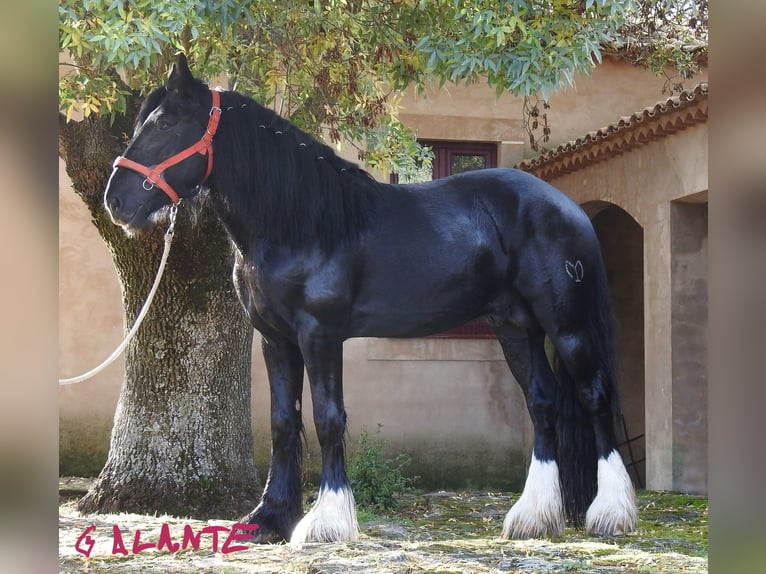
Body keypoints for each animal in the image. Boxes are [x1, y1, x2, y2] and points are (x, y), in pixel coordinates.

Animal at [105, 56, 640, 548]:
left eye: (167, 124)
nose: (116, 201)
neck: (300, 221)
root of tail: (566, 207)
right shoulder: (276, 339)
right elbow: (282, 422)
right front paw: (268, 518)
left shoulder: (320, 334)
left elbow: (328, 418)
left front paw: (326, 521)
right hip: (515, 326)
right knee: (543, 403)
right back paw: (534, 518)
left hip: (568, 326)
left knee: (595, 397)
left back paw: (611, 513)